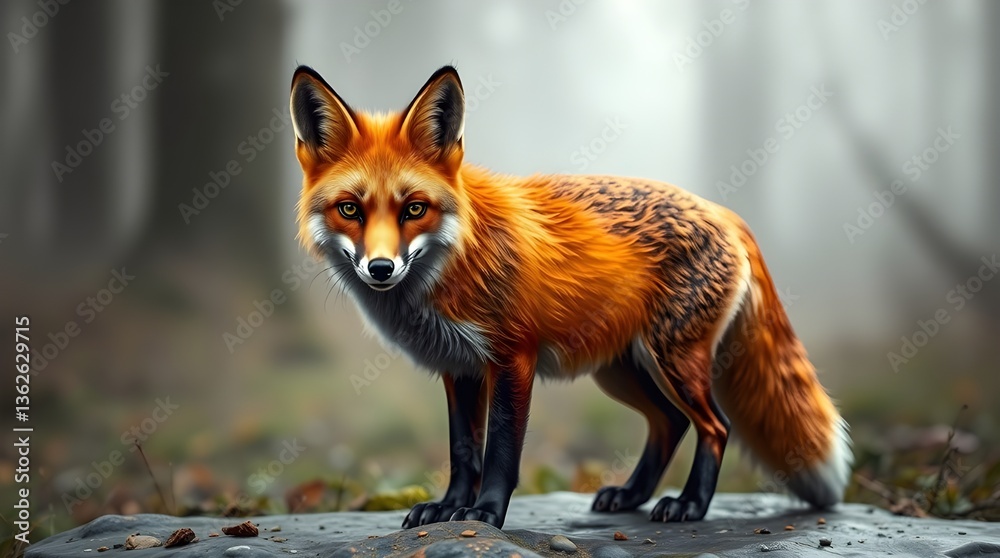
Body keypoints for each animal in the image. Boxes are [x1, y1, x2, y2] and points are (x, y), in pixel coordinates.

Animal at [288, 65, 852, 529]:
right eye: (350, 209)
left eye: (414, 209)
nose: (381, 269)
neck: (455, 265)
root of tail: (722, 210)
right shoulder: (458, 366)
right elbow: (463, 451)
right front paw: (448, 508)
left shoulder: (512, 358)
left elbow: (501, 453)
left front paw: (485, 514)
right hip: (622, 371)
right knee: (669, 423)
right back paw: (631, 496)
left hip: (674, 363)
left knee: (716, 426)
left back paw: (690, 504)